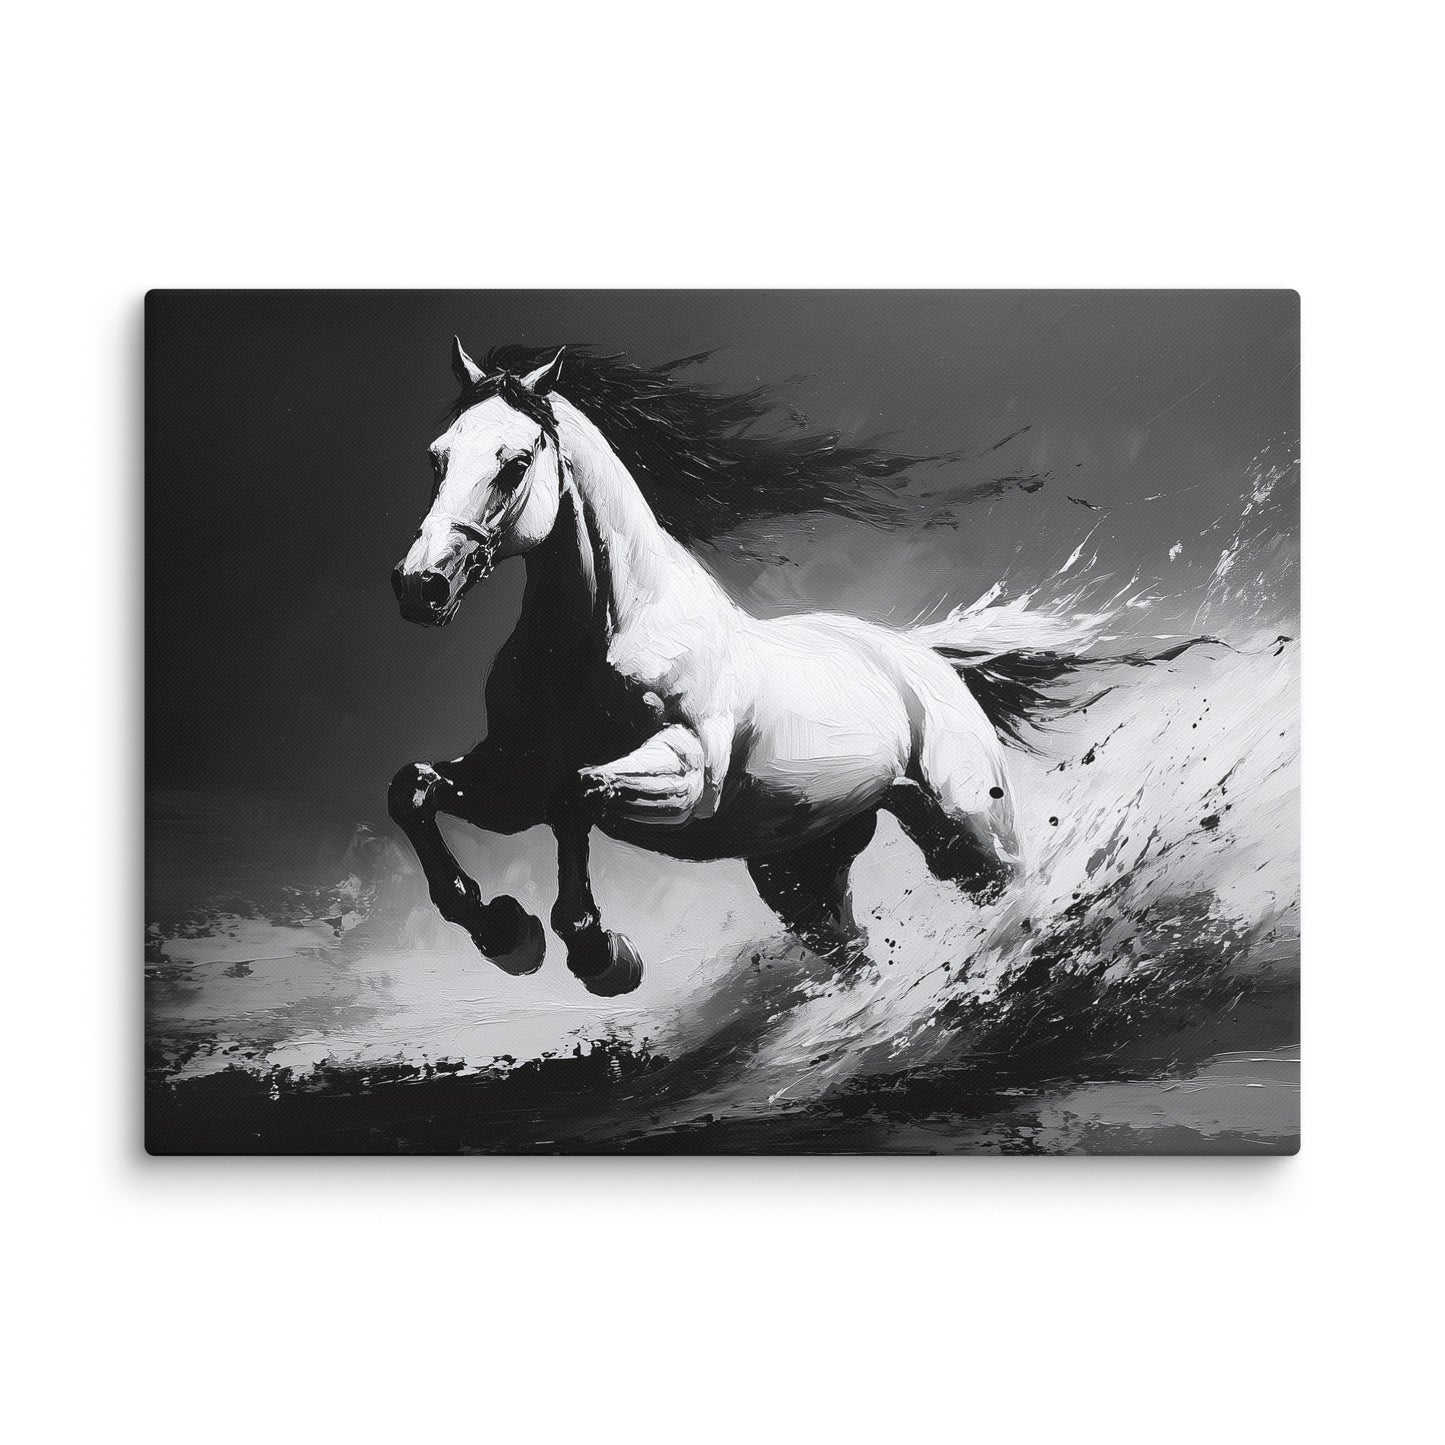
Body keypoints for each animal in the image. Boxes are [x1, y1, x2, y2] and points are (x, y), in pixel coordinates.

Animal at [389, 340, 1099, 997]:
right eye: (436, 456)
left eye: (514, 464)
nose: (420, 586)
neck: (601, 639)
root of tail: (921, 656)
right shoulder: (516, 779)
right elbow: (413, 788)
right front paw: (504, 933)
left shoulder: (687, 776)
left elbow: (579, 793)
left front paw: (599, 955)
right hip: (800, 870)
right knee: (853, 953)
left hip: (967, 827)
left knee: (1010, 886)